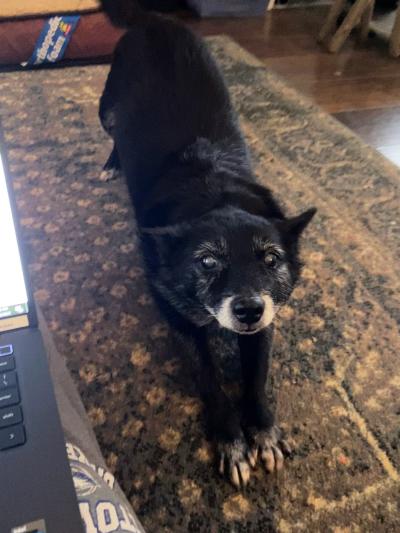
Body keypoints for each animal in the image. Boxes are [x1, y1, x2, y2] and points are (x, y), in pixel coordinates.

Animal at [98, 0, 314, 486]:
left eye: (271, 259)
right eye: (207, 261)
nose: (248, 309)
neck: (214, 193)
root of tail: (154, 20)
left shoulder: (267, 323)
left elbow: (256, 378)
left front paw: (263, 432)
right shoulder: (181, 324)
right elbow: (211, 382)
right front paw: (231, 441)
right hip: (106, 106)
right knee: (113, 132)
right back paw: (111, 164)